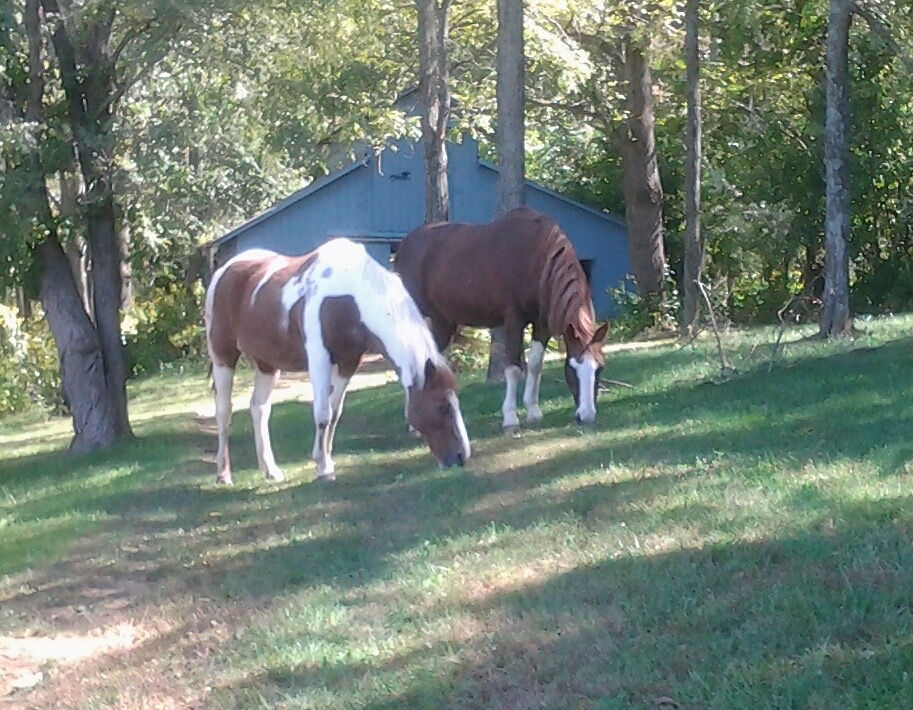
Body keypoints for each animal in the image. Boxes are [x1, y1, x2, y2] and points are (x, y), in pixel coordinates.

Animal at [204, 238, 471, 484]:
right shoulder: (320, 358)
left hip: (267, 364)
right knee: (224, 411)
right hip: (223, 356)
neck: (348, 297)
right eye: (443, 406)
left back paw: (271, 470)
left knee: (259, 408)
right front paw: (323, 470)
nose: (461, 457)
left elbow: (334, 413)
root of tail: (224, 270)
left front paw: (325, 461)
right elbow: (322, 412)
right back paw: (223, 474)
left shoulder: (348, 362)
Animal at [394, 207, 608, 429]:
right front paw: (510, 417)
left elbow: (535, 365)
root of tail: (404, 246)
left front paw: (533, 411)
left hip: (443, 322)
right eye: (573, 368)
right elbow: (513, 368)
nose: (587, 415)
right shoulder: (513, 322)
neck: (536, 255)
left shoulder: (541, 325)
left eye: (599, 368)